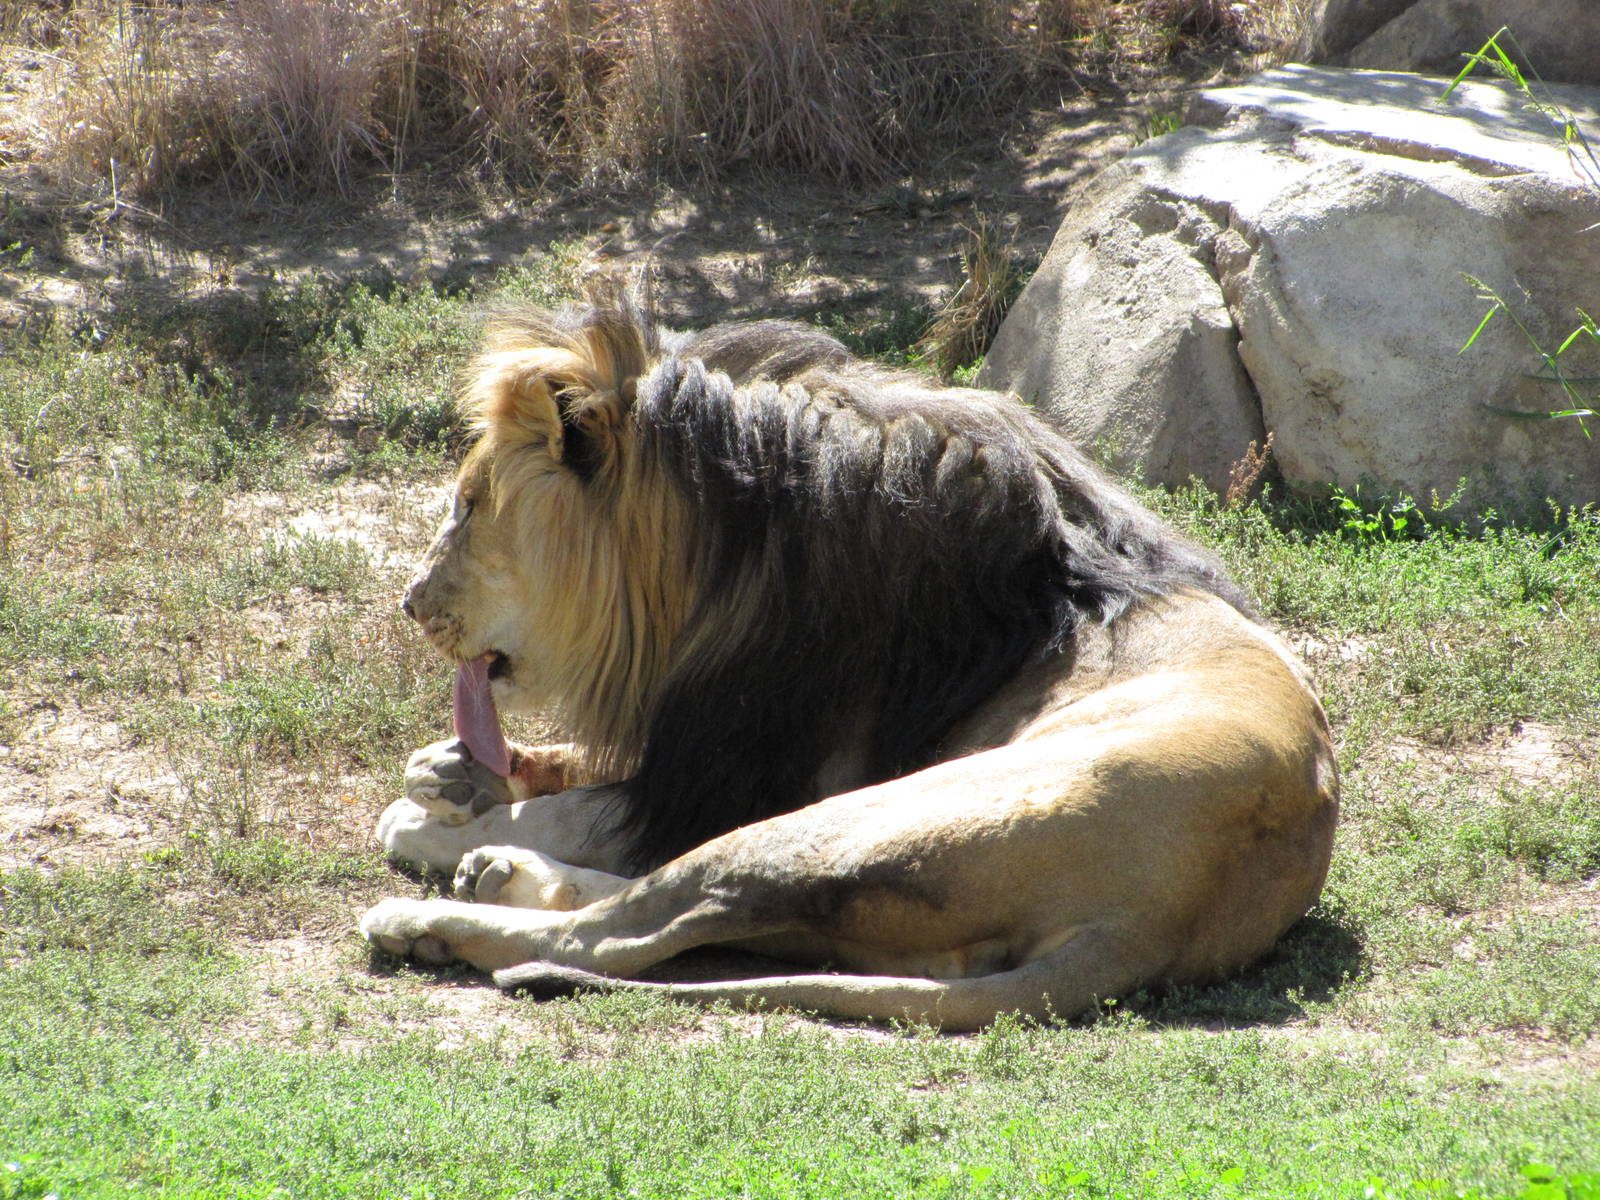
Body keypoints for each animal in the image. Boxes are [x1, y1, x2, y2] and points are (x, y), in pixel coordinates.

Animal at [359, 282, 1338, 1031]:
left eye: (469, 504)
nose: (409, 604)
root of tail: (1158, 920)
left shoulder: (754, 772)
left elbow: (579, 810)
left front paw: (436, 821)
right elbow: (572, 775)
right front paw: (454, 772)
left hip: (844, 821)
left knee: (616, 932)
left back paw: (432, 912)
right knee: (693, 927)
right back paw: (493, 875)